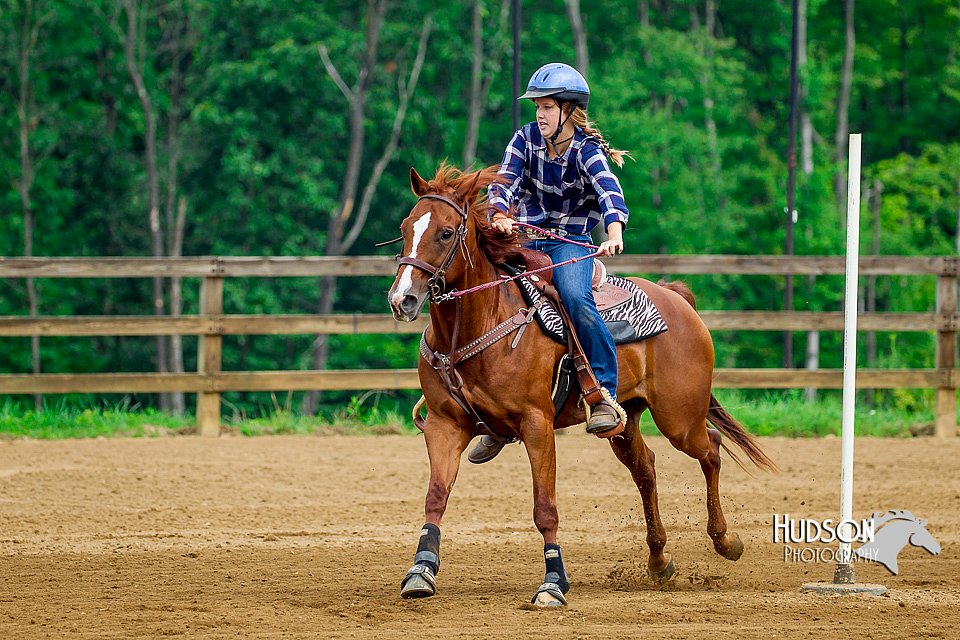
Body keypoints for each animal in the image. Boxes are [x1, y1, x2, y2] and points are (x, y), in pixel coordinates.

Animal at [386, 164, 776, 604]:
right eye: (404, 228)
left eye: (446, 232)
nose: (402, 300)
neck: (480, 321)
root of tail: (676, 299)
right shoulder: (443, 425)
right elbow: (435, 497)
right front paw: (420, 571)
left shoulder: (537, 425)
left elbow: (545, 507)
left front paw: (553, 583)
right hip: (626, 421)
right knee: (646, 469)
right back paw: (659, 561)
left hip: (680, 419)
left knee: (711, 447)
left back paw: (726, 541)